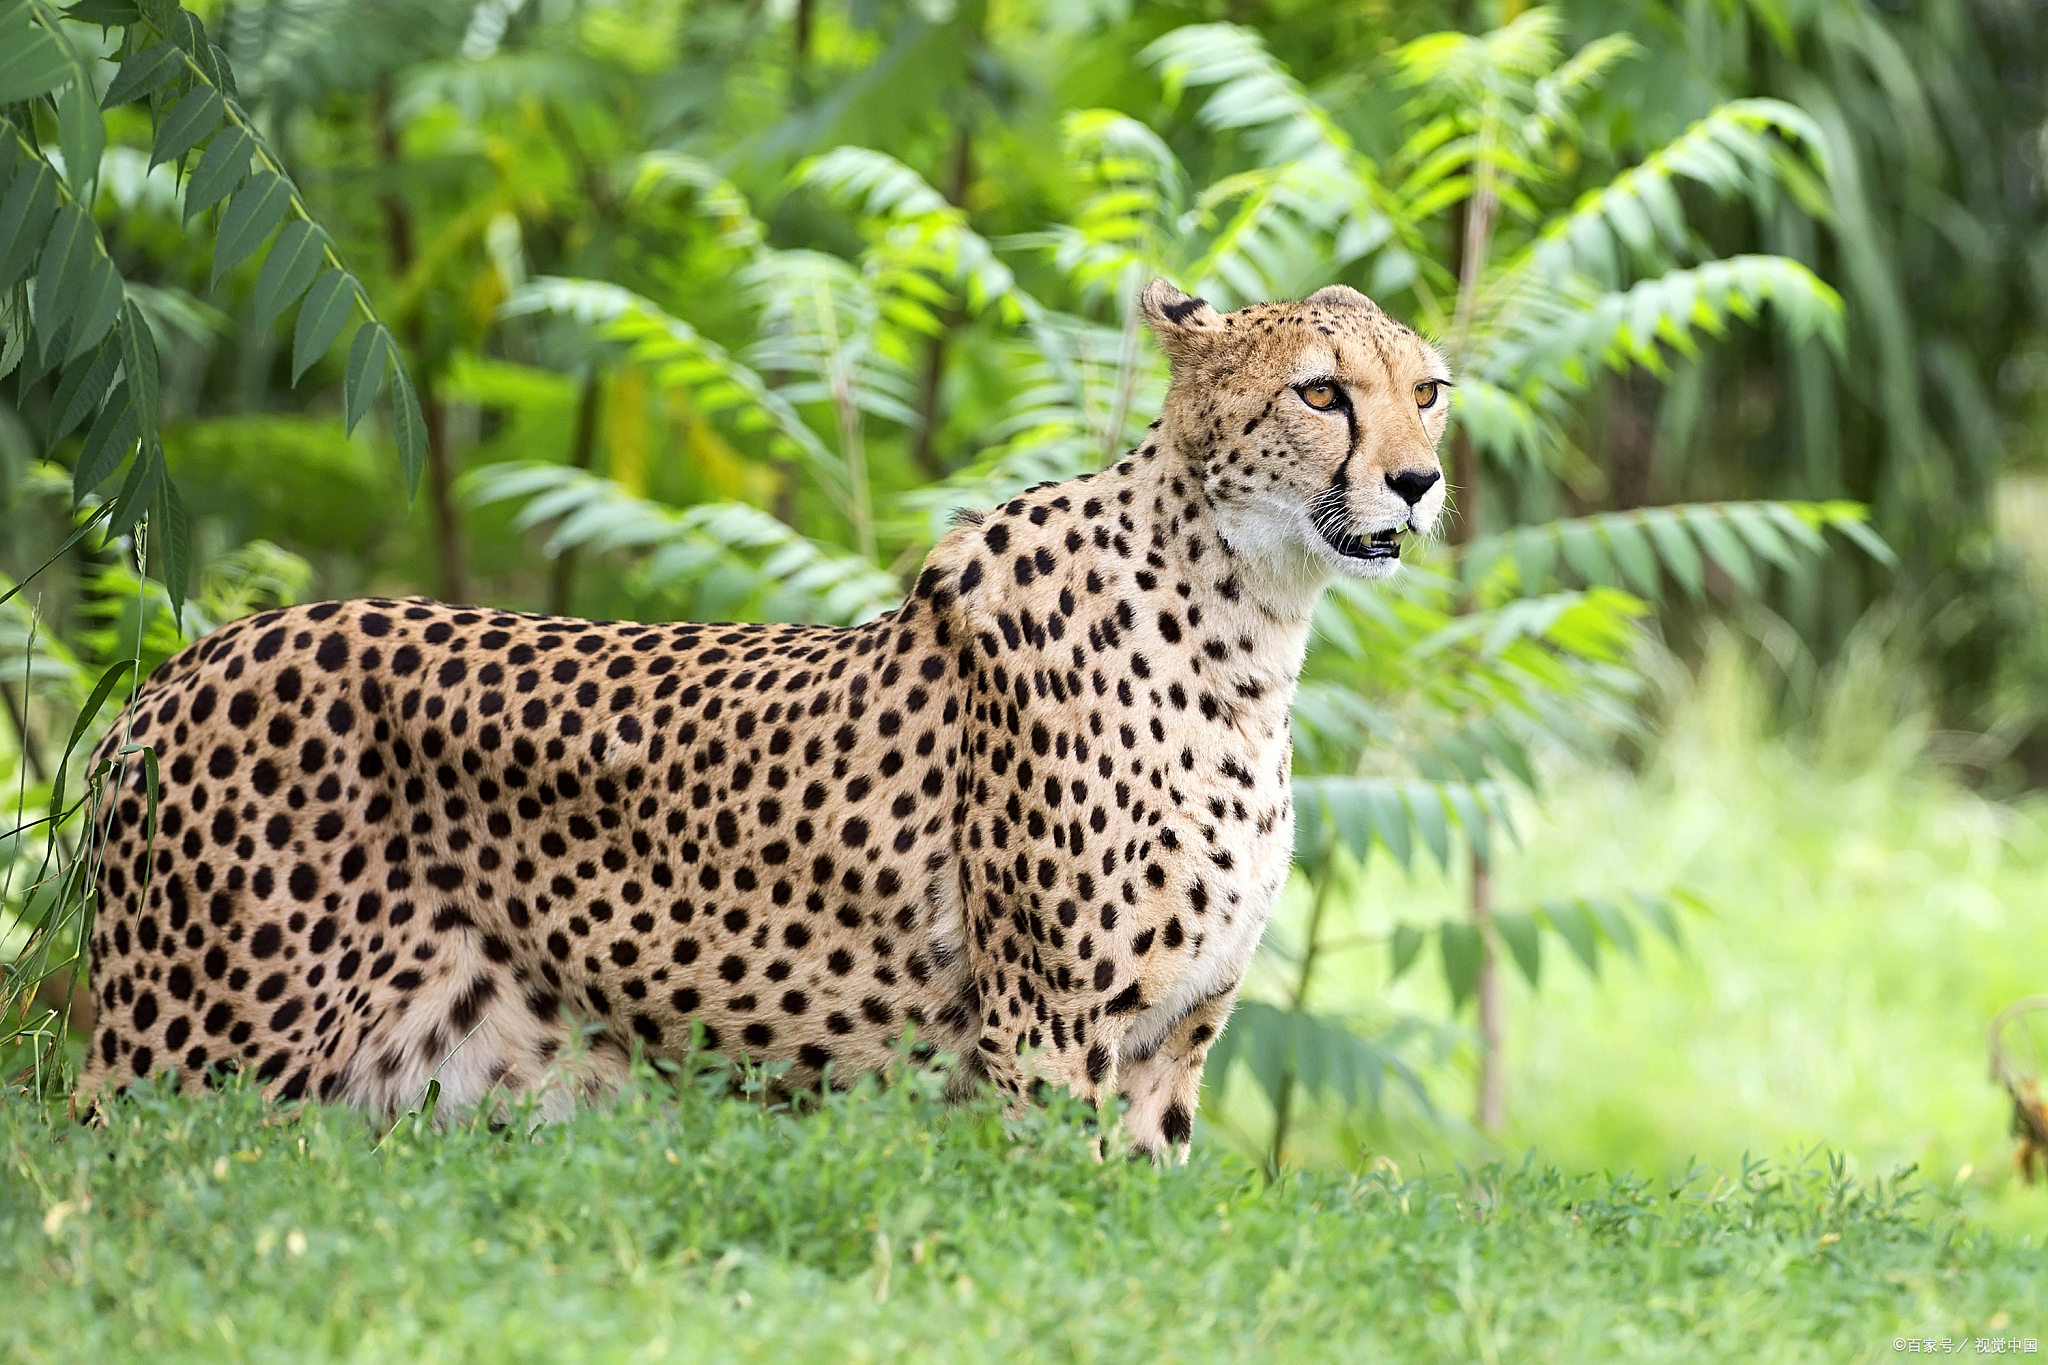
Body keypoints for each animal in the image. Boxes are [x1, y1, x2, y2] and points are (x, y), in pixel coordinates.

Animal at [75, 282, 1458, 1162]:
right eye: (1320, 394)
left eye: (1429, 391)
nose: (1418, 480)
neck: (1248, 621)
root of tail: (185, 661)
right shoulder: (1044, 1040)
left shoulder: (1167, 1052)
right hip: (186, 1071)